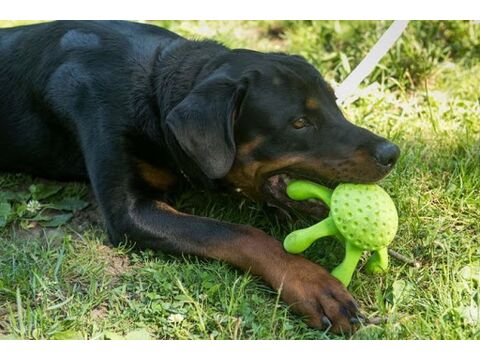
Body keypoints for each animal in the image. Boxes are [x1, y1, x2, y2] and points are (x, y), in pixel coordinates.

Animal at [0, 20, 398, 334]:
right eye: (299, 123)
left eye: (335, 104)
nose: (391, 153)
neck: (154, 94)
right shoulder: (130, 211)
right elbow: (240, 234)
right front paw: (310, 281)